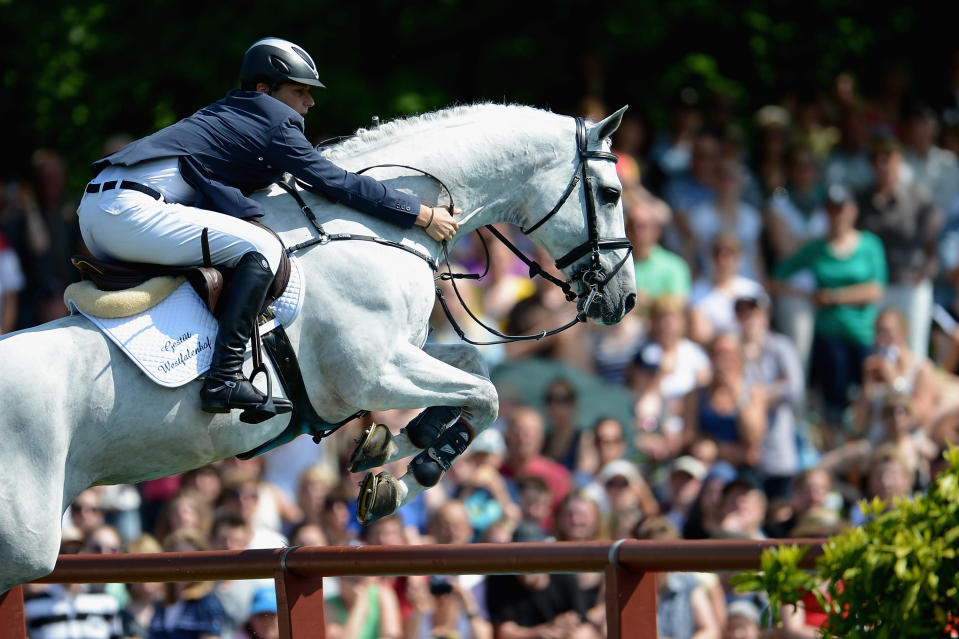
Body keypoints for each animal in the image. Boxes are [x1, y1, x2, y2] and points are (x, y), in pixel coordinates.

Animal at [0, 102, 632, 592]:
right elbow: (487, 396)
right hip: (25, 539)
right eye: (610, 193)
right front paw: (411, 472)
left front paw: (390, 445)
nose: (622, 300)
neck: (372, 223)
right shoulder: (371, 371)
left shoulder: (400, 354)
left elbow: (473, 369)